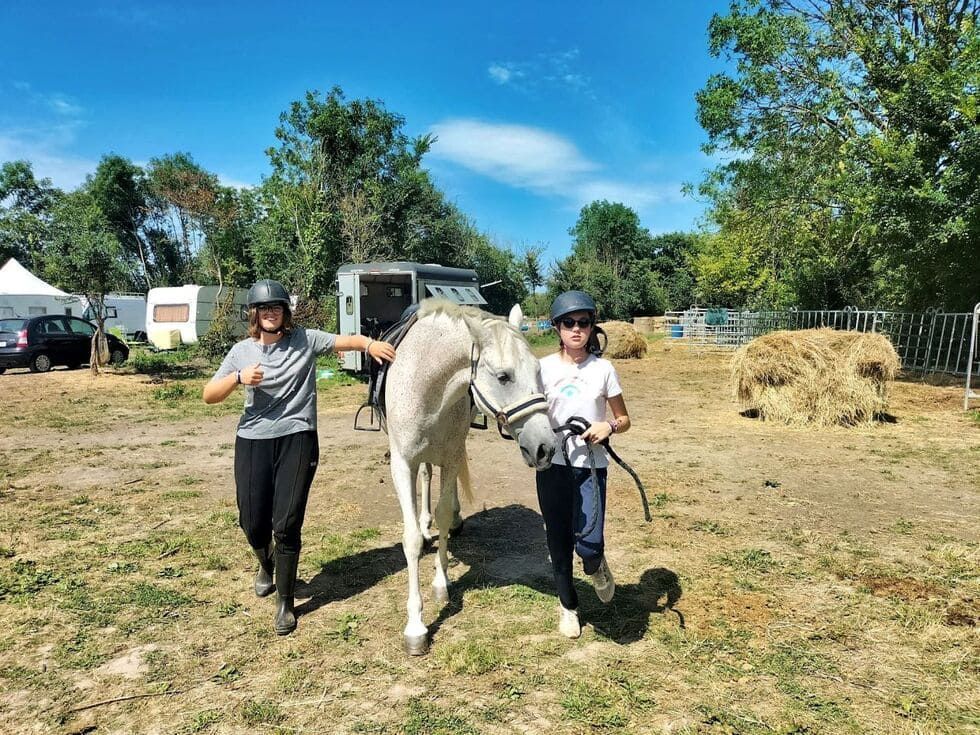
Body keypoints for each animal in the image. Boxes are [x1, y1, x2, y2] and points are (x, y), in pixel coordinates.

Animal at [384, 298, 557, 655]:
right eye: (503, 377)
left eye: (538, 371)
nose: (545, 448)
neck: (427, 387)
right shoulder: (402, 464)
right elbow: (410, 539)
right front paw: (415, 627)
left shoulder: (451, 457)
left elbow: (443, 512)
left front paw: (441, 581)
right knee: (425, 478)